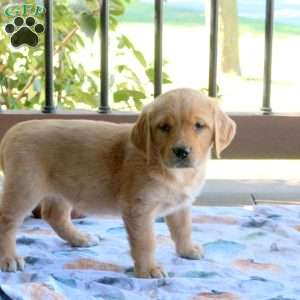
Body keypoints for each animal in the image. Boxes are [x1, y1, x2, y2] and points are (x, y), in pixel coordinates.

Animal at [0, 88, 236, 278]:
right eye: (164, 127)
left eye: (199, 125)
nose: (181, 151)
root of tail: (12, 132)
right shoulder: (139, 208)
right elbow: (146, 241)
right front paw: (148, 269)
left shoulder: (181, 205)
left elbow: (183, 228)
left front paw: (187, 250)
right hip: (25, 187)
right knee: (8, 221)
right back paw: (9, 258)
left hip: (64, 188)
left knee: (54, 215)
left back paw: (80, 238)